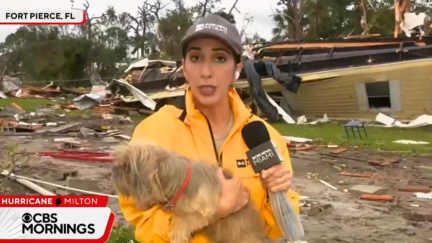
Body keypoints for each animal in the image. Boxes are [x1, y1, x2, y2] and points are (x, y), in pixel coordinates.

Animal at [111, 142, 266, 243]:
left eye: (126, 166)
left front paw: (178, 234)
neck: (179, 181)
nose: (114, 168)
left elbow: (186, 220)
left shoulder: (203, 210)